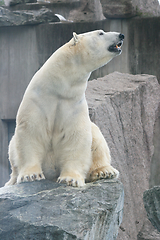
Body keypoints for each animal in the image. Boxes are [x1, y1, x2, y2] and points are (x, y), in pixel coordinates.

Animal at [5, 29, 124, 188]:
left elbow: (76, 136)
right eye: (101, 33)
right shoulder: (37, 101)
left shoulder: (73, 104)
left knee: (98, 139)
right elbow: (31, 131)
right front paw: (31, 175)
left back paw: (104, 171)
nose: (121, 35)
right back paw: (11, 181)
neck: (58, 89)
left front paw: (70, 179)